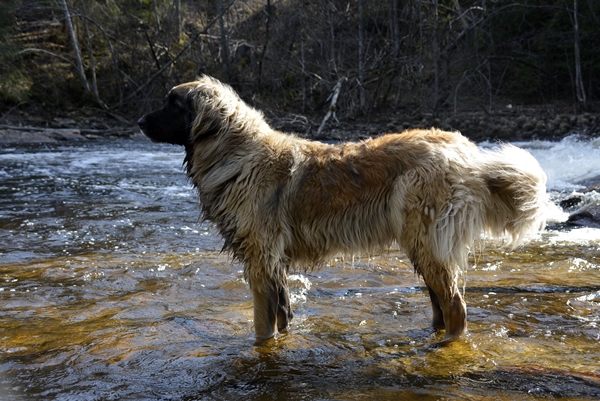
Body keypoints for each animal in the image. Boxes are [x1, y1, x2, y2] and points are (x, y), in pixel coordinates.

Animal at [138, 76, 552, 344]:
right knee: (440, 301)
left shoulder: (260, 259)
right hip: (423, 245)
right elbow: (283, 313)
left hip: (425, 239)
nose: (139, 121)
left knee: (455, 306)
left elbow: (262, 325)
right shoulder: (274, 262)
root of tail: (469, 156)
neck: (235, 154)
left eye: (172, 103)